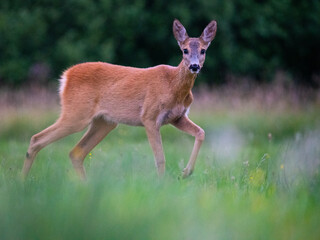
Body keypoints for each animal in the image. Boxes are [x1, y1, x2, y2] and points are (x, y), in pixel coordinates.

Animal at [22, 19, 218, 178]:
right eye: (184, 50)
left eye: (203, 50)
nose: (194, 66)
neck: (173, 86)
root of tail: (66, 76)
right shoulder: (149, 116)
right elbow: (160, 158)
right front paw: (162, 184)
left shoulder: (177, 117)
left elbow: (201, 132)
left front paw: (186, 172)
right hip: (77, 113)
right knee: (36, 139)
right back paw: (22, 182)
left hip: (104, 122)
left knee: (76, 153)